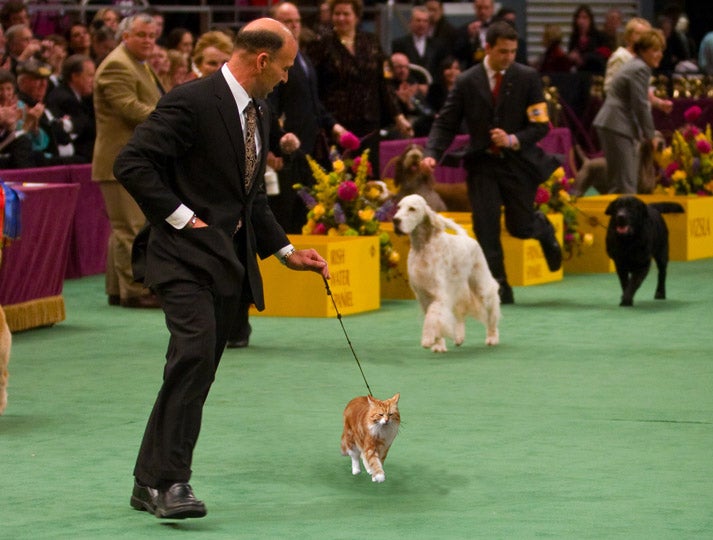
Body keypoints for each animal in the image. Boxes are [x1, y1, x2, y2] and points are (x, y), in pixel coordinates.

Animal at [390, 196, 500, 352]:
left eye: (412, 209)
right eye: (399, 207)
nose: (395, 220)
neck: (422, 247)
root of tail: (466, 238)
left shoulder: (439, 294)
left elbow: (432, 317)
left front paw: (428, 339)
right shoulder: (423, 295)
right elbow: (435, 319)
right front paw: (438, 345)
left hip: (481, 286)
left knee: (491, 310)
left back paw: (492, 337)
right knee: (460, 313)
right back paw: (459, 337)